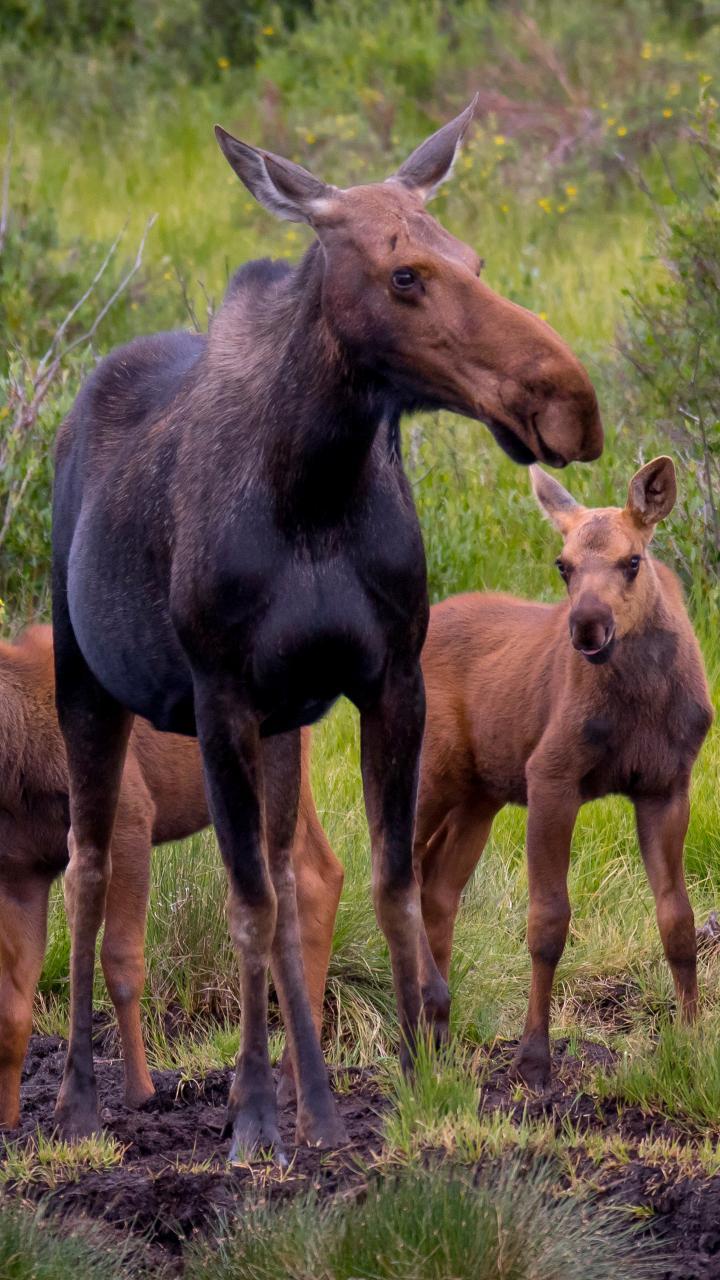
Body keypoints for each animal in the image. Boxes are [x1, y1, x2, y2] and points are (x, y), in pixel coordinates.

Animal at [0, 624, 343, 1130]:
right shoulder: (19, 872)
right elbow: (14, 1005)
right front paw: (8, 1121)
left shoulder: (131, 814)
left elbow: (120, 959)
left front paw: (139, 1092)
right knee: (317, 877)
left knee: (312, 877)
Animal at [51, 99, 602, 1160]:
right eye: (404, 275)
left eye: (472, 256)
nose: (569, 402)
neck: (312, 485)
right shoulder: (221, 695)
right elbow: (245, 904)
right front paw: (257, 1119)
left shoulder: (389, 678)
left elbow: (388, 883)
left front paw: (414, 1079)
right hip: (86, 683)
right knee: (87, 867)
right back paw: (84, 1103)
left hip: (282, 725)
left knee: (292, 872)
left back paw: (316, 1103)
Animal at [287, 457, 713, 1092]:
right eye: (562, 565)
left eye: (632, 560)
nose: (588, 626)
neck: (643, 701)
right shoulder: (551, 775)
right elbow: (548, 922)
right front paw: (534, 1058)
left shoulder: (667, 785)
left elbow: (678, 920)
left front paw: (691, 1041)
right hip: (427, 777)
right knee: (395, 870)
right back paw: (430, 1009)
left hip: (478, 795)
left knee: (437, 886)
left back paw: (436, 1034)